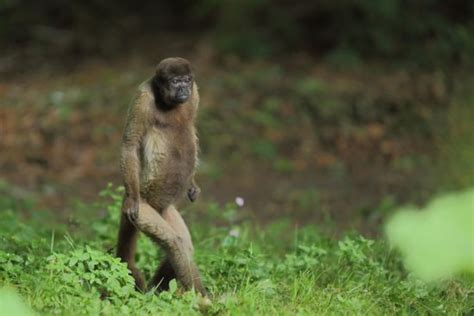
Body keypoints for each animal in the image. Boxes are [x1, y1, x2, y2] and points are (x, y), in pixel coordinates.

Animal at [115, 56, 206, 296]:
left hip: (166, 209)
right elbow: (130, 144)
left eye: (186, 80)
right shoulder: (143, 98)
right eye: (175, 81)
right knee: (175, 242)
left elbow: (192, 127)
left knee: (184, 245)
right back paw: (202, 299)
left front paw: (192, 184)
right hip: (144, 207)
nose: (183, 88)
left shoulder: (195, 93)